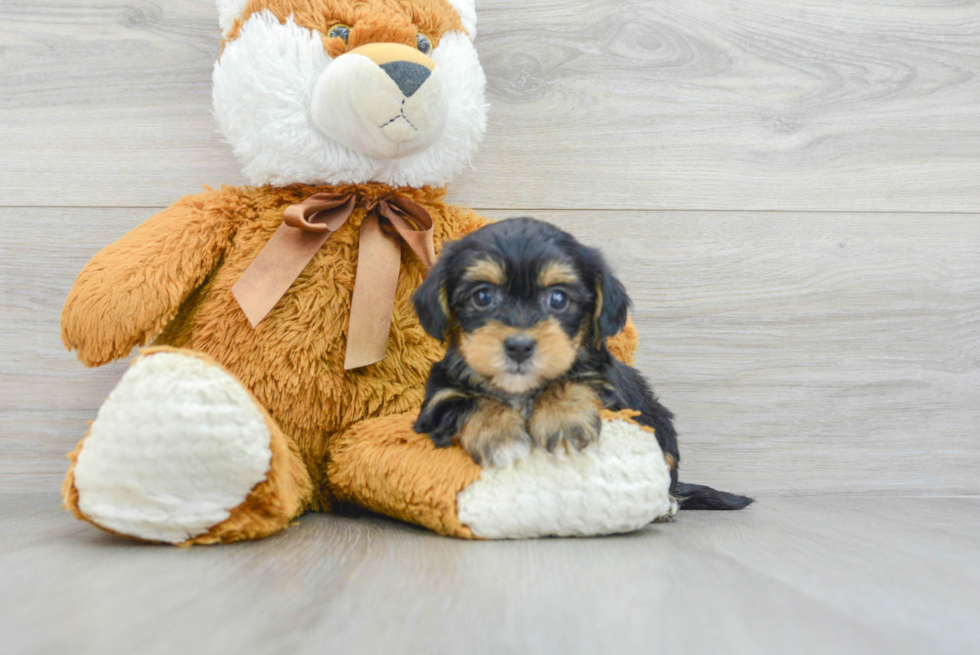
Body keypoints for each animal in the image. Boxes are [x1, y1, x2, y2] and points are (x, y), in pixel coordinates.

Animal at [410, 218, 756, 510]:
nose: (519, 346)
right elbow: (472, 402)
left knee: (668, 475)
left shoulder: (611, 392)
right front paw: (500, 436)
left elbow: (573, 380)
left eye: (558, 299)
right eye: (482, 297)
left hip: (661, 427)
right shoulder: (438, 400)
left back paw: (667, 504)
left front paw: (564, 422)